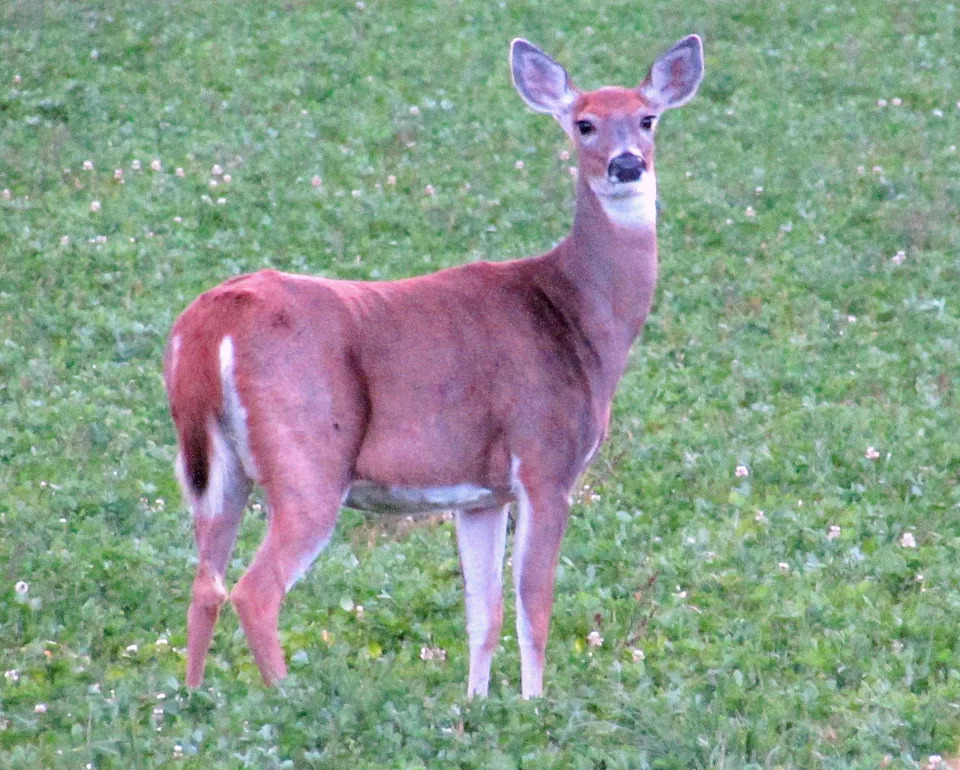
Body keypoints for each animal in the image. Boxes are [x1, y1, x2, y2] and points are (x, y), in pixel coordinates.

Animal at [164, 34, 704, 699]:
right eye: (584, 124)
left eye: (648, 118)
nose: (627, 165)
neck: (579, 318)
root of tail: (211, 320)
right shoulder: (545, 461)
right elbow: (534, 603)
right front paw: (535, 704)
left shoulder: (480, 493)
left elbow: (483, 611)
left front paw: (476, 704)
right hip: (308, 456)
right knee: (254, 591)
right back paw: (286, 698)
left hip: (217, 469)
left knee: (203, 584)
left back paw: (192, 697)